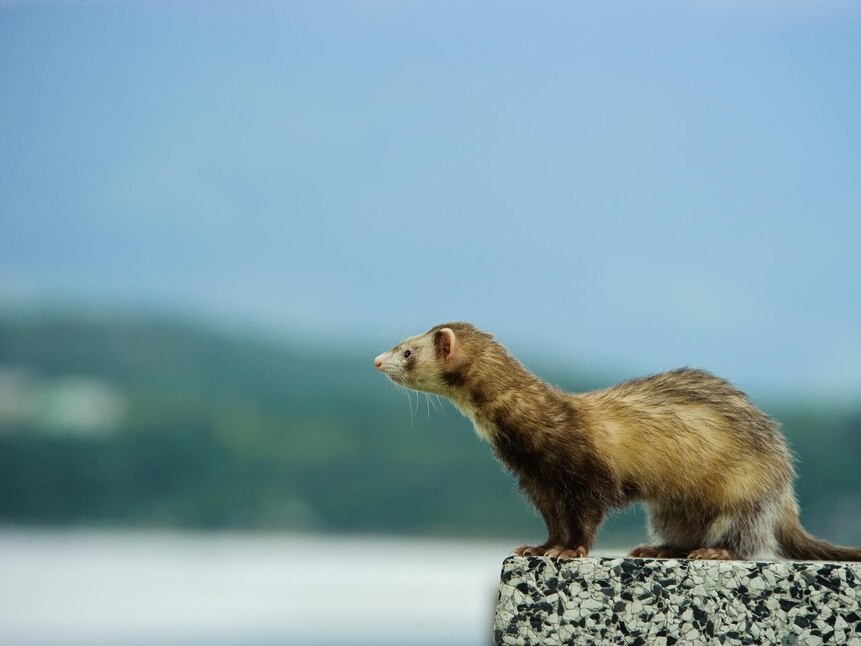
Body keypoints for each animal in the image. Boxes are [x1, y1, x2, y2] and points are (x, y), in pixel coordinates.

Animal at [372, 324, 860, 560]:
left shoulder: (588, 477)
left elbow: (587, 519)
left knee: (749, 539)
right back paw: (658, 548)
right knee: (680, 533)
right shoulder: (538, 483)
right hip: (669, 509)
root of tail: (785, 486)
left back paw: (714, 551)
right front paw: (541, 547)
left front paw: (571, 550)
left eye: (408, 351)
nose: (376, 360)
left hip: (742, 492)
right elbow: (554, 521)